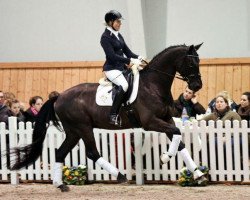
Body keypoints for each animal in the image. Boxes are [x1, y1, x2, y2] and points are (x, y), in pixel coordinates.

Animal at [9, 43, 205, 191]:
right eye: (191, 63)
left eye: (199, 61)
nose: (197, 86)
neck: (153, 86)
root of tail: (59, 96)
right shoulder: (150, 122)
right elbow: (177, 132)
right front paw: (165, 157)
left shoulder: (166, 119)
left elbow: (179, 141)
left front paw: (198, 174)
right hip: (83, 127)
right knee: (92, 152)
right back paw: (120, 175)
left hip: (73, 131)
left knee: (60, 152)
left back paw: (60, 185)